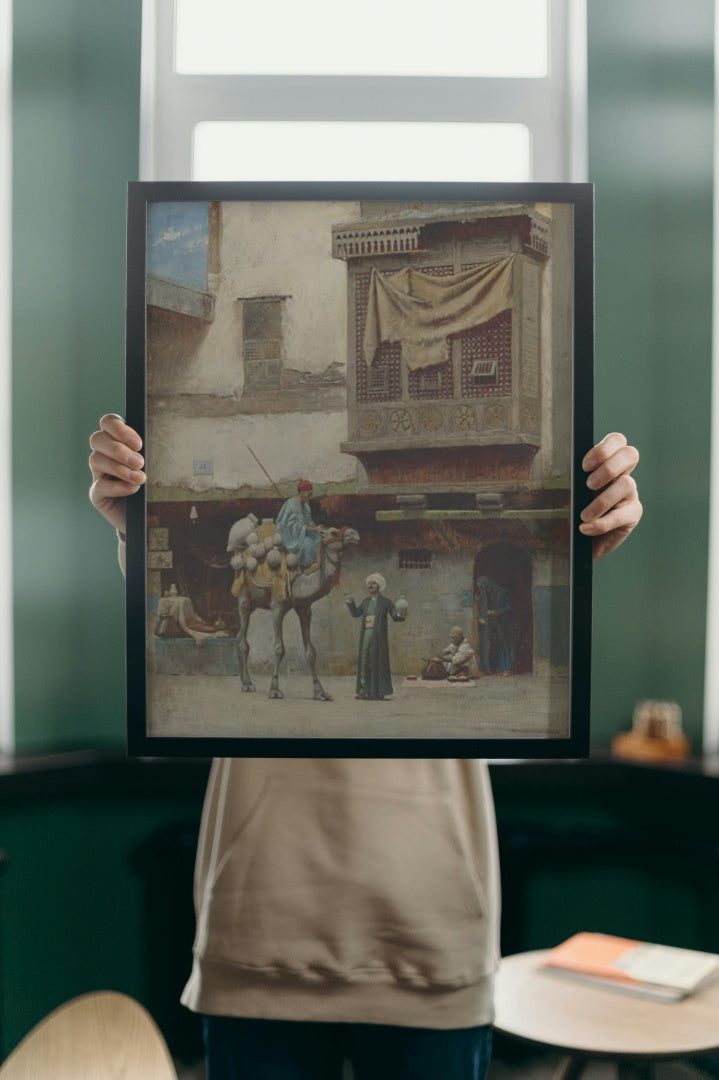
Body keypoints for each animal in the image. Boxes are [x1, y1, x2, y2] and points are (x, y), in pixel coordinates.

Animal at [232, 522, 358, 699]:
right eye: (333, 532)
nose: (355, 534)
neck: (298, 581)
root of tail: (243, 554)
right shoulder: (277, 607)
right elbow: (279, 648)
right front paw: (274, 689)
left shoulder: (304, 608)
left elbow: (311, 652)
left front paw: (320, 692)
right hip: (243, 597)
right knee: (243, 640)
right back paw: (248, 684)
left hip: (254, 603)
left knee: (238, 636)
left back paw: (244, 680)